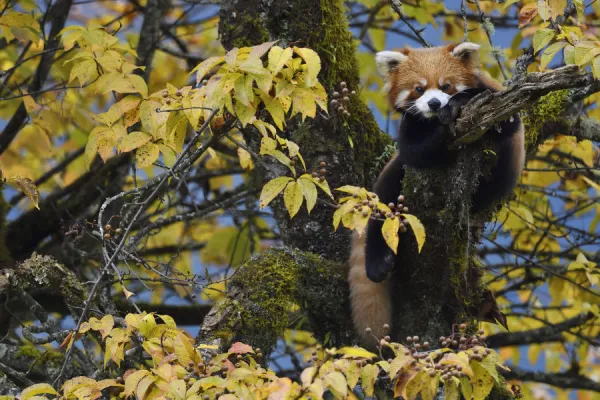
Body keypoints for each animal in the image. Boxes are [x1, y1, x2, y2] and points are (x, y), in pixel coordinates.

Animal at [350, 43, 524, 346]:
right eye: (419, 89)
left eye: (446, 86)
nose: (434, 104)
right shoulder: (411, 130)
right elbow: (417, 153)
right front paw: (444, 127)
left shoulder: (496, 99)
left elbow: (506, 120)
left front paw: (456, 106)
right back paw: (378, 263)